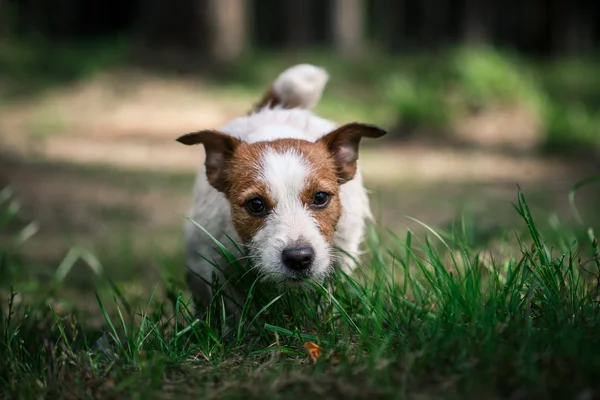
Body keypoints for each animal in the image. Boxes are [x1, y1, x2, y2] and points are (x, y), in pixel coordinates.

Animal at [176, 64, 386, 316]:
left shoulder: (339, 258)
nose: (299, 258)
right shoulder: (213, 262)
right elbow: (231, 304)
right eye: (256, 204)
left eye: (320, 197)